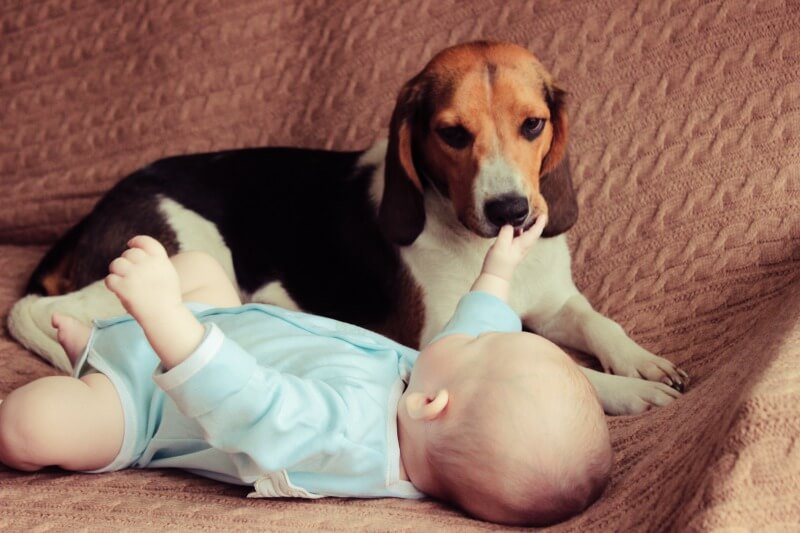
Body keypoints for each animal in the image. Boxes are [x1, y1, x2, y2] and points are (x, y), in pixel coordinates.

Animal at [7, 41, 688, 416]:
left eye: (533, 125)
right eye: (452, 133)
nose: (510, 212)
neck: (479, 245)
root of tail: (96, 211)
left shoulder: (556, 301)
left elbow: (599, 324)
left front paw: (641, 364)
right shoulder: (438, 338)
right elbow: (543, 358)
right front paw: (621, 391)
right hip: (177, 256)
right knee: (39, 312)